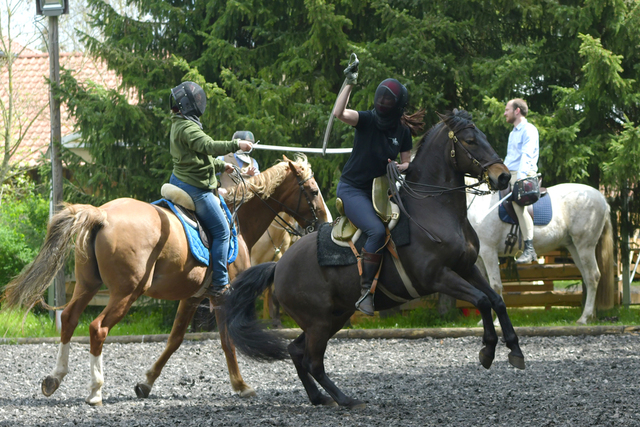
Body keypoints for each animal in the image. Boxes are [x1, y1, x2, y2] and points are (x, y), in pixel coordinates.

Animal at [2, 155, 328, 406]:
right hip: (126, 293)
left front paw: (146, 383)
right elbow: (226, 341)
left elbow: (174, 340)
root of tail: (101, 214)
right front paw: (241, 385)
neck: (236, 217)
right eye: (312, 191)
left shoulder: (193, 297)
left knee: (69, 319)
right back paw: (95, 391)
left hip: (87, 286)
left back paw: (54, 378)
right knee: (98, 329)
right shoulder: (222, 296)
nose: (323, 223)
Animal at [225, 109, 524, 408]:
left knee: (296, 350)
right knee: (313, 361)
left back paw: (319, 397)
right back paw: (345, 399)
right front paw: (488, 350)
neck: (434, 209)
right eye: (471, 140)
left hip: (334, 316)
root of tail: (279, 265)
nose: (503, 177)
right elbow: (482, 300)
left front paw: (514, 348)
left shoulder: (466, 268)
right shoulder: (438, 277)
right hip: (319, 322)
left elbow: (496, 300)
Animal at [464, 182, 616, 326]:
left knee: (593, 276)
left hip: (585, 246)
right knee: (587, 277)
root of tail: (601, 198)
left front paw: (496, 322)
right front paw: (484, 321)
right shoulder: (479, 257)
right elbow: (483, 286)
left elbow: (495, 286)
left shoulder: (489, 251)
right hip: (574, 247)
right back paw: (590, 316)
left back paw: (584, 318)